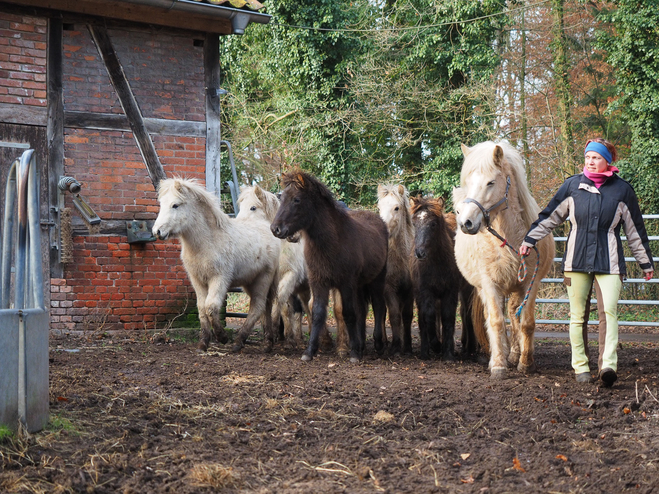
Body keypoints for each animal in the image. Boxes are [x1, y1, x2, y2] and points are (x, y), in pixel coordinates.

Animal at [153, 179, 280, 354]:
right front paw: (203, 343)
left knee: (258, 306)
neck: (207, 242)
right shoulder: (197, 280)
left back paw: (238, 342)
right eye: (161, 204)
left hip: (263, 279)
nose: (157, 231)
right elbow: (201, 309)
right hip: (250, 282)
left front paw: (222, 337)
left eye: (175, 205)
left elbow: (211, 307)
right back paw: (267, 343)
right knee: (264, 306)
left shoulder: (219, 279)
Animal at [270, 171, 390, 362]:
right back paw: (362, 344)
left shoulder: (345, 284)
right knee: (363, 310)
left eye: (296, 199)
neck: (332, 242)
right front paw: (309, 351)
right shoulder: (318, 282)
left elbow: (348, 313)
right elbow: (318, 313)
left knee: (379, 306)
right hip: (360, 285)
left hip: (376, 280)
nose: (276, 229)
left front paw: (353, 353)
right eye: (281, 199)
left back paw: (378, 344)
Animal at [452, 141, 556, 380]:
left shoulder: (530, 284)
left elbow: (526, 323)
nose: (466, 222)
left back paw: (516, 354)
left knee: (514, 315)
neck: (508, 240)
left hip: (516, 288)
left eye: (491, 182)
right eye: (468, 182)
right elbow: (496, 322)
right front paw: (499, 365)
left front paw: (526, 362)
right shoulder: (490, 285)